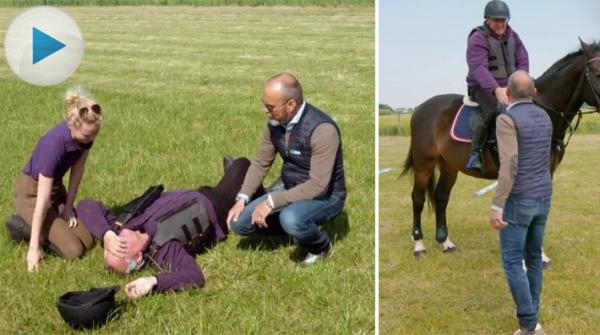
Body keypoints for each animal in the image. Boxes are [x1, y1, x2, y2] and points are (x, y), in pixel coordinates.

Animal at [404, 40, 600, 260]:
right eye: (597, 73)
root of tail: (420, 109)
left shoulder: (546, 174)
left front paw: (539, 254)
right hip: (424, 164)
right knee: (418, 199)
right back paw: (419, 245)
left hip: (448, 165)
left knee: (441, 197)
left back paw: (446, 242)